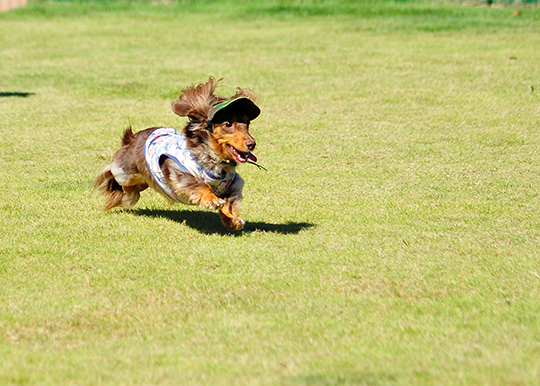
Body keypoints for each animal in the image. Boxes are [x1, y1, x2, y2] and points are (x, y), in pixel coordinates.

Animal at [95, 77, 262, 231]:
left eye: (247, 123)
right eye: (228, 124)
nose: (251, 144)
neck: (212, 159)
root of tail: (133, 137)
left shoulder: (233, 184)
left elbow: (229, 202)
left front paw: (232, 220)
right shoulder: (179, 172)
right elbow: (201, 185)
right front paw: (212, 200)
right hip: (125, 172)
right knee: (118, 178)